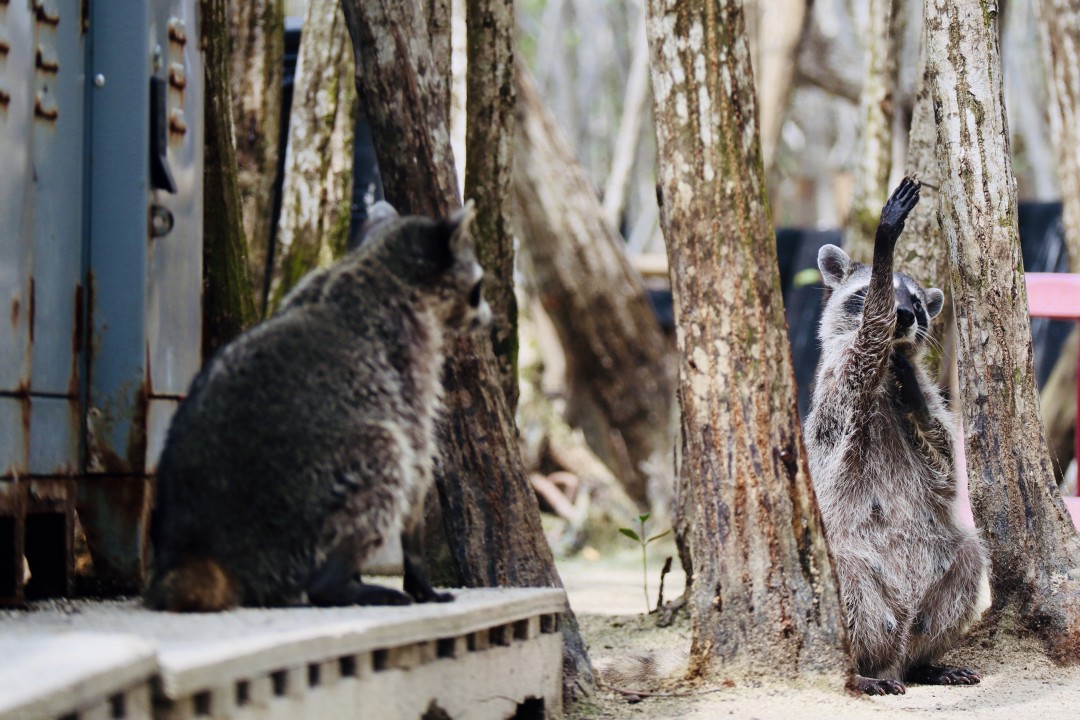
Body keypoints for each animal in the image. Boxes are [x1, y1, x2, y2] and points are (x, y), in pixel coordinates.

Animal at [145, 202, 491, 612]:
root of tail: (202, 551)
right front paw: (420, 575)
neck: (380, 262)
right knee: (388, 451)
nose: (489, 318)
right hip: (302, 508)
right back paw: (337, 584)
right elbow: (416, 459)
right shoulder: (409, 359)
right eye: (478, 288)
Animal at [805, 177, 988, 695]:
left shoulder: (927, 394)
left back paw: (927, 661)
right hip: (853, 565)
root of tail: (895, 650)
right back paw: (861, 668)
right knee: (848, 583)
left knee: (969, 557)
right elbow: (864, 351)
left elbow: (945, 465)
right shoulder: (838, 392)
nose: (902, 316)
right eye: (872, 291)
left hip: (939, 574)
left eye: (919, 307)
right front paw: (883, 241)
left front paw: (914, 400)